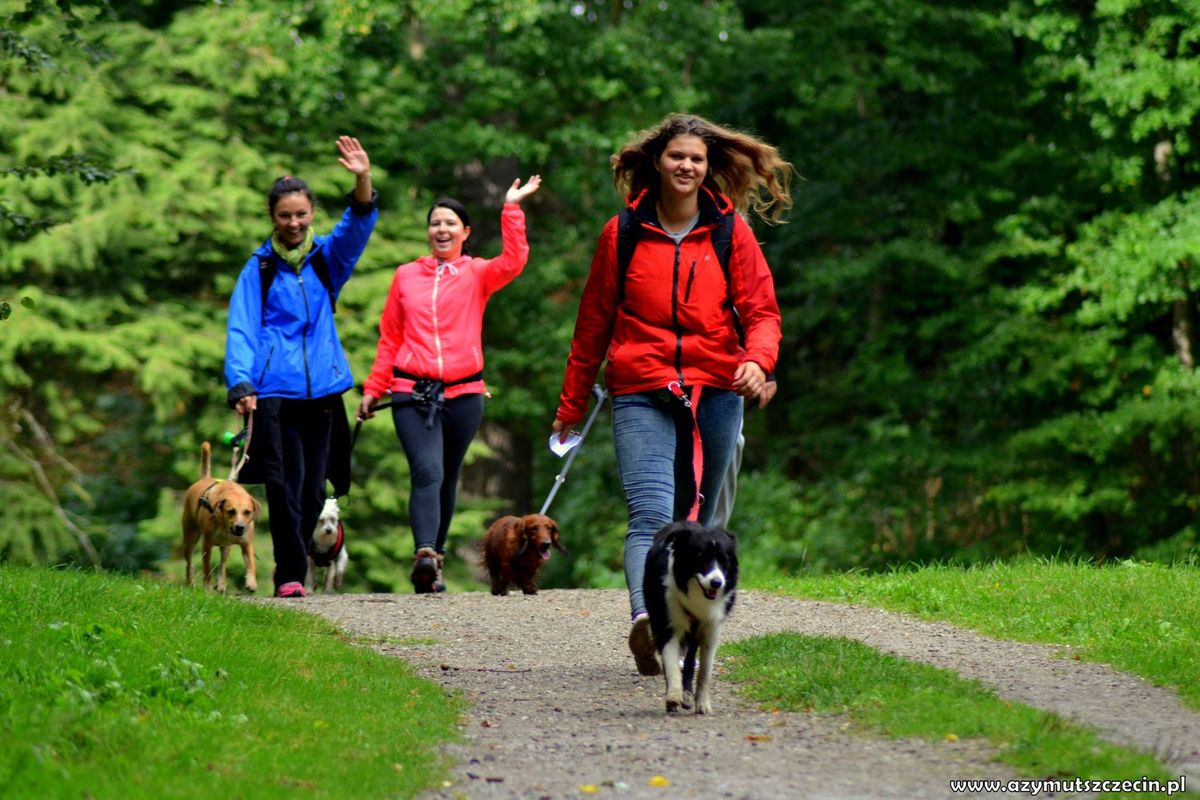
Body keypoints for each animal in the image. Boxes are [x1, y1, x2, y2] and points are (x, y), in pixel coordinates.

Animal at [181, 441, 259, 592]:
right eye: (231, 511)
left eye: (247, 512)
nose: (240, 527)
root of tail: (204, 478)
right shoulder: (207, 545)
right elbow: (207, 569)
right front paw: (206, 588)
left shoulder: (247, 543)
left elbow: (251, 562)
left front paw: (251, 582)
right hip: (190, 537)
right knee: (188, 562)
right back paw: (190, 583)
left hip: (226, 548)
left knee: (223, 564)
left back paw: (221, 584)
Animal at [643, 522, 734, 714]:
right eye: (700, 558)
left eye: (723, 560)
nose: (716, 583)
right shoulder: (668, 621)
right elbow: (670, 664)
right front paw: (673, 697)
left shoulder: (711, 627)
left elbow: (705, 672)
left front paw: (702, 703)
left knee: (690, 659)